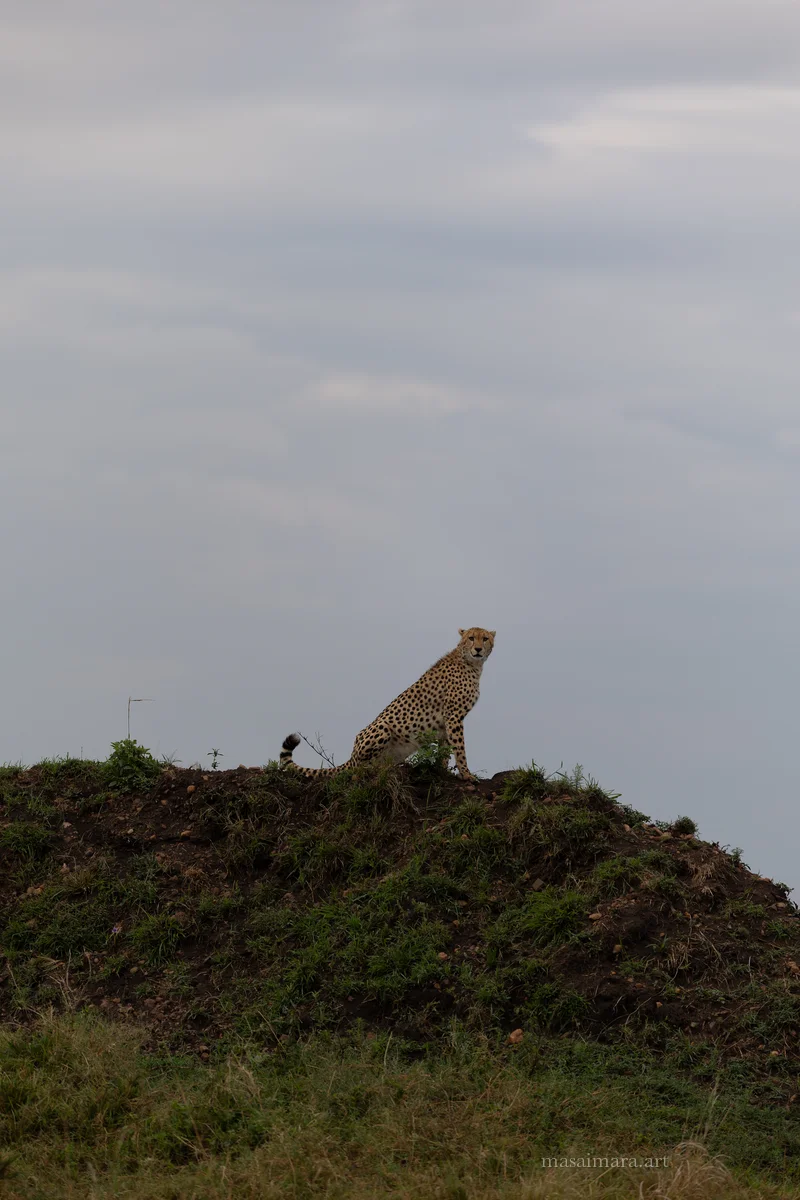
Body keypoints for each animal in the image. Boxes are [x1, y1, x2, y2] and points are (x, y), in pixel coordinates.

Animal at [279, 627, 496, 781]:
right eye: (471, 638)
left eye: (484, 638)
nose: (478, 649)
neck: (471, 663)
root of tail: (351, 756)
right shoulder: (454, 716)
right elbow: (459, 748)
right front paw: (467, 774)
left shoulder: (446, 722)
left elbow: (446, 749)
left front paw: (445, 772)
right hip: (382, 727)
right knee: (359, 769)